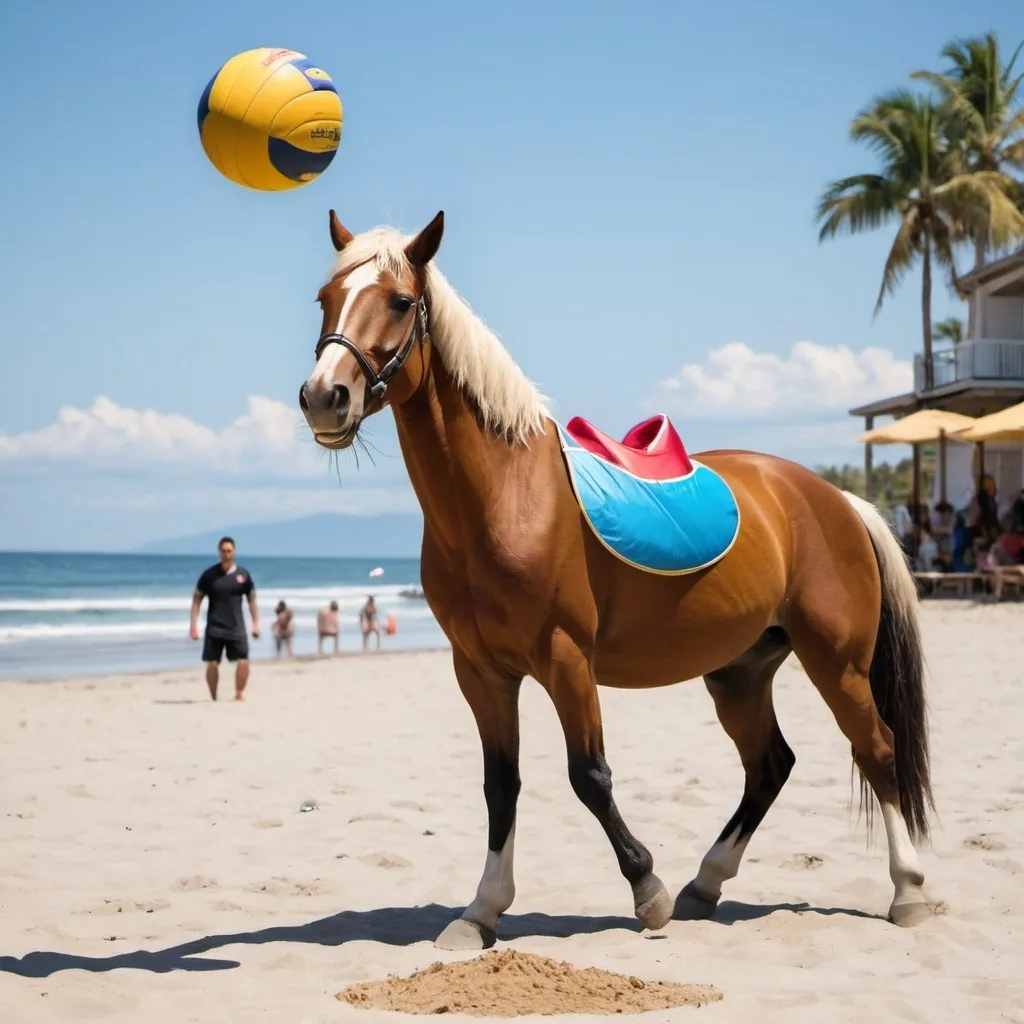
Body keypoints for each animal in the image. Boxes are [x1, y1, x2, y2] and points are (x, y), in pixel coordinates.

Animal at [296, 209, 937, 950]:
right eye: (325, 298)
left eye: (400, 302)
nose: (324, 398)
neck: (504, 496)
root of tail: (836, 498)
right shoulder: (481, 671)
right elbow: (500, 785)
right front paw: (482, 910)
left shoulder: (567, 659)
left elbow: (589, 776)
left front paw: (645, 888)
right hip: (740, 672)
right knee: (771, 765)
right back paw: (706, 883)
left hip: (837, 663)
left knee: (877, 750)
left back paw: (908, 891)